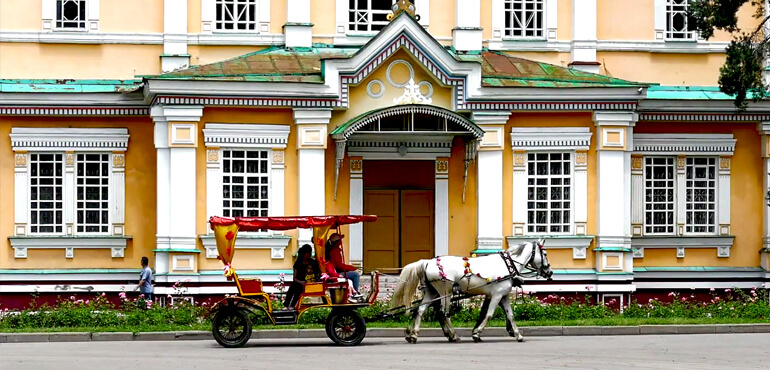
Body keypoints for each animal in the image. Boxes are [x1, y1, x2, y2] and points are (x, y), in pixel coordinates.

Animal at [392, 240, 548, 344]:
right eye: (545, 253)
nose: (548, 271)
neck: (507, 265)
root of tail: (428, 262)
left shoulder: (503, 296)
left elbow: (510, 315)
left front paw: (517, 334)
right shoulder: (497, 295)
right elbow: (489, 314)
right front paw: (477, 334)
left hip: (432, 292)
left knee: (420, 310)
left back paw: (413, 335)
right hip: (445, 291)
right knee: (443, 313)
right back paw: (453, 335)